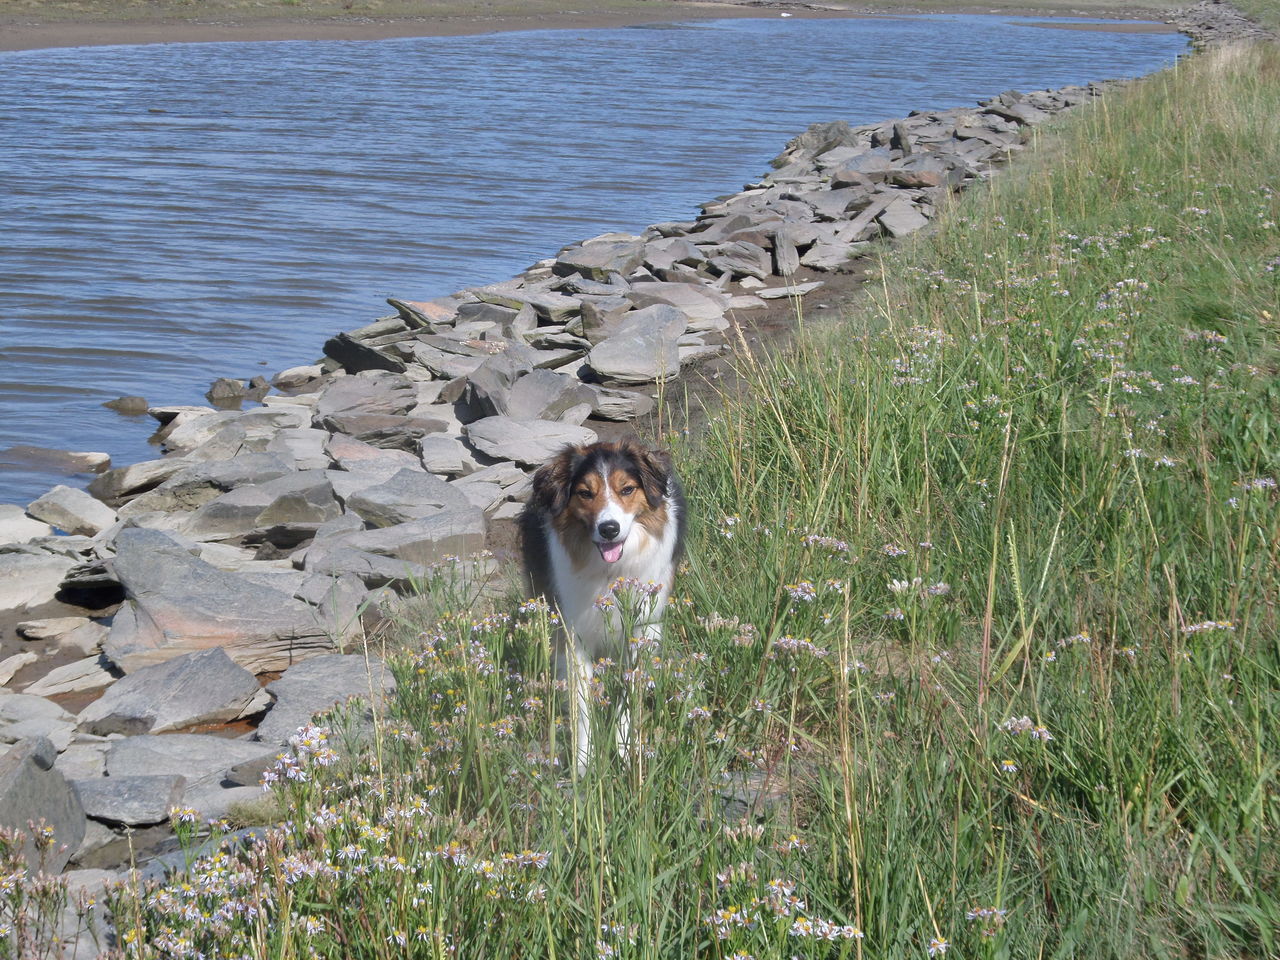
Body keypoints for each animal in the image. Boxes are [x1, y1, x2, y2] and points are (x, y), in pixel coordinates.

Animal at [517, 437, 686, 773]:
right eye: (585, 493)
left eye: (627, 489)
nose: (609, 529)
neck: (611, 572)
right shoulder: (573, 633)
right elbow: (582, 702)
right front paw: (584, 760)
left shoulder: (643, 629)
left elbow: (628, 691)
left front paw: (623, 747)